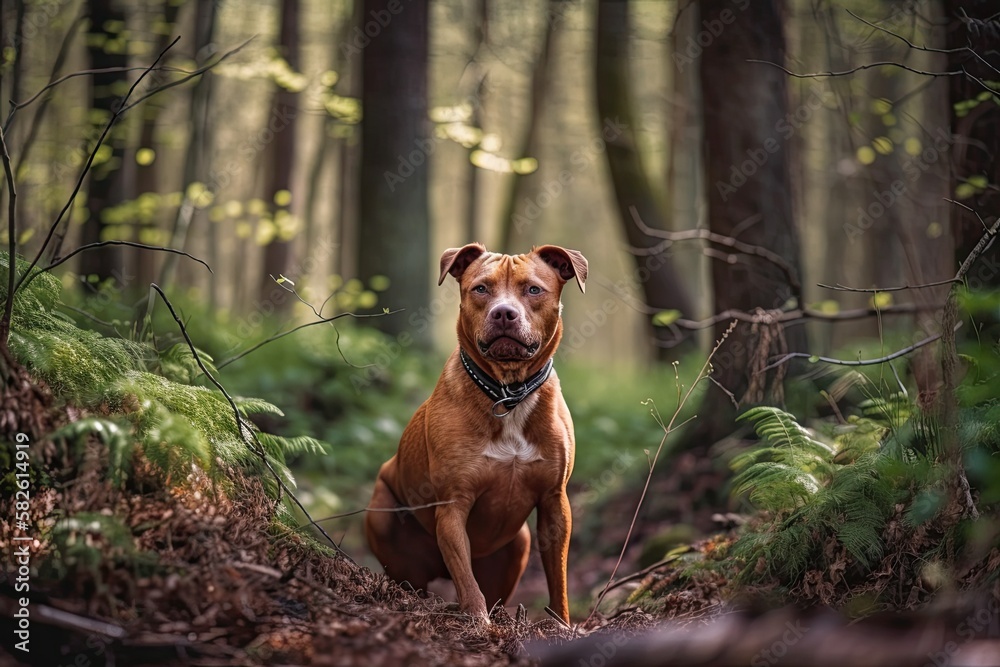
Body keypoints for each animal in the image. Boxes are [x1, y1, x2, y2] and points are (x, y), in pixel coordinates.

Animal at [366, 243, 584, 624]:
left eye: (533, 289)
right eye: (481, 289)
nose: (504, 313)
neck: (508, 393)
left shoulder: (555, 502)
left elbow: (558, 578)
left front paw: (562, 625)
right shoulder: (453, 504)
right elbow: (466, 579)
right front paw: (479, 622)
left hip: (520, 542)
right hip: (381, 514)